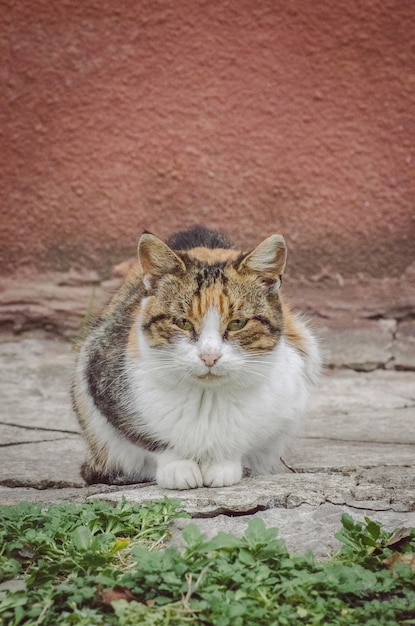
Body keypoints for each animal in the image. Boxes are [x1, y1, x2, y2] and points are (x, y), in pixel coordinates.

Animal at [72, 224, 322, 488]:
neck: (207, 398)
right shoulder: (101, 375)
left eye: (238, 323)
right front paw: (178, 468)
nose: (209, 356)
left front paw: (223, 465)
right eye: (182, 322)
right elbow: (152, 440)